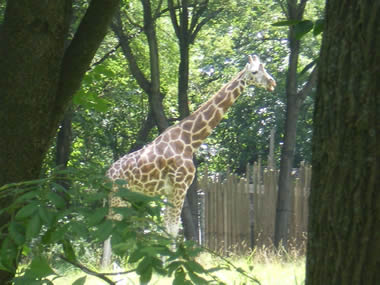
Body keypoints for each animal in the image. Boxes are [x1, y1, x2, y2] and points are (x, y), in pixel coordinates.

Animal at [105, 54, 274, 236]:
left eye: (264, 67)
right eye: (255, 71)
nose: (272, 83)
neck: (189, 141)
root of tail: (107, 175)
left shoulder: (171, 191)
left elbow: (168, 229)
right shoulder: (180, 186)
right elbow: (173, 229)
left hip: (125, 198)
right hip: (117, 196)